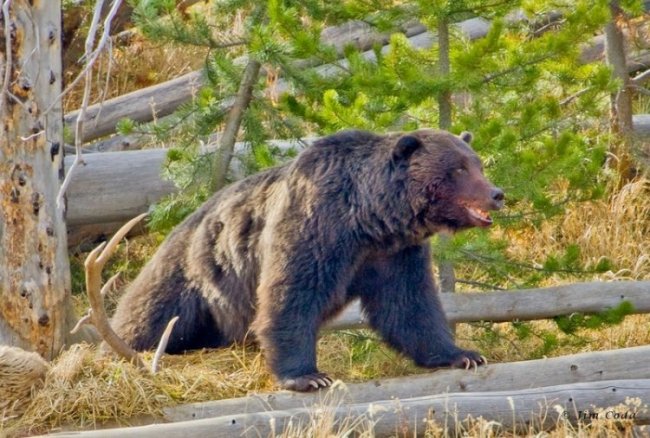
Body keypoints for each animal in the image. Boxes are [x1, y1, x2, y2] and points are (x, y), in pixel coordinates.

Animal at [110, 128, 502, 392]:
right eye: (458, 169)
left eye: (477, 164)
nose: (497, 193)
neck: (370, 219)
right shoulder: (316, 226)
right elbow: (291, 294)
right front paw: (307, 376)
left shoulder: (394, 254)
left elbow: (409, 305)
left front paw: (463, 353)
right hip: (186, 282)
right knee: (148, 318)